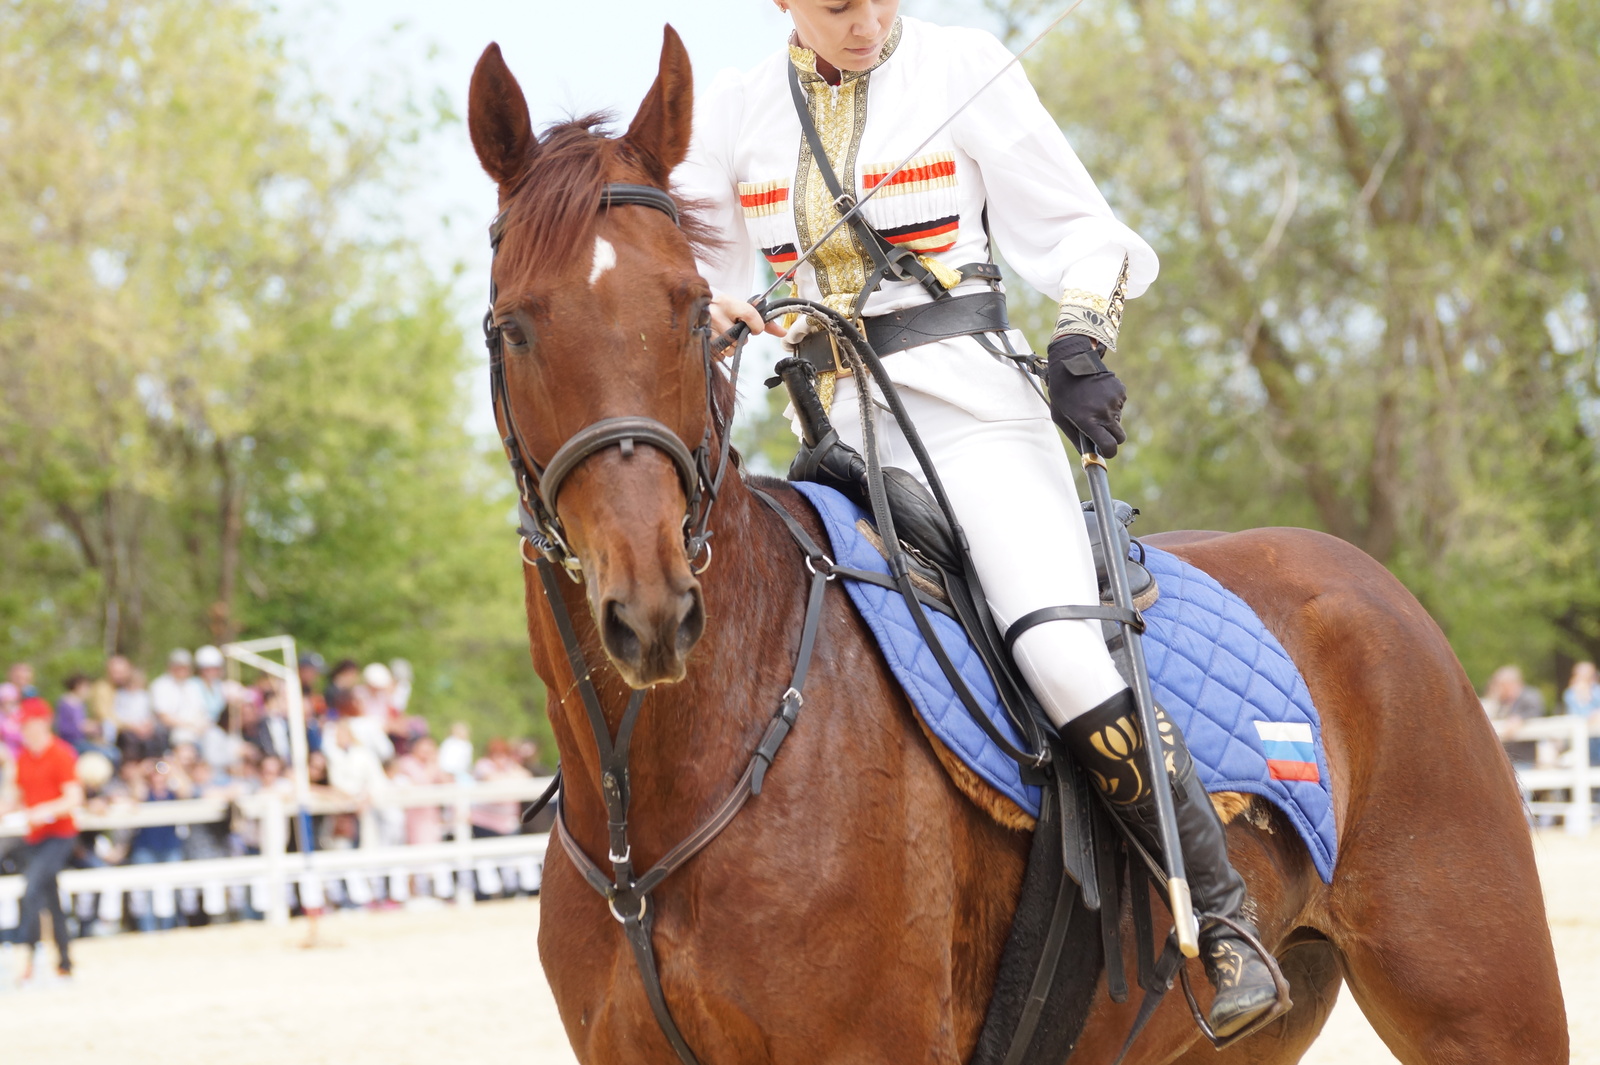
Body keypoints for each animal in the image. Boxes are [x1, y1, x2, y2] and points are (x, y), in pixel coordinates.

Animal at [464, 28, 1561, 1061]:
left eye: (693, 312)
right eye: (512, 326)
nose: (652, 605)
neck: (656, 793)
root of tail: (1372, 582)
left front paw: (1084, 379)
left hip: (1484, 1007)